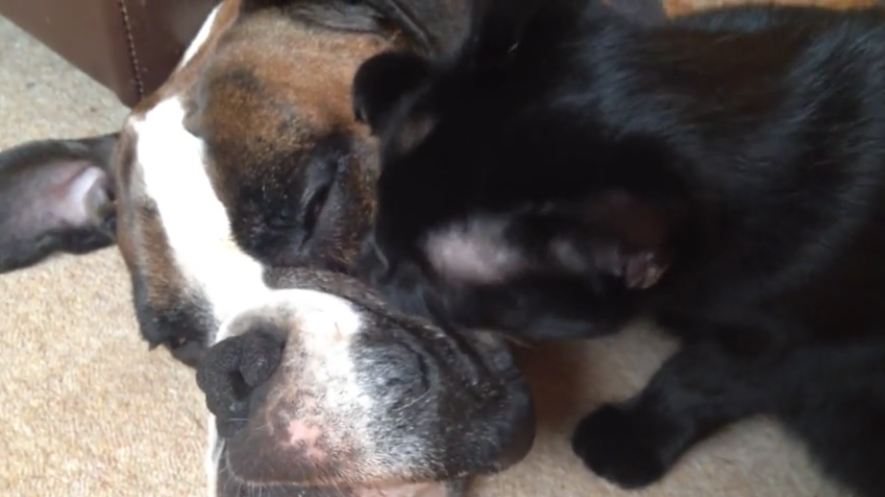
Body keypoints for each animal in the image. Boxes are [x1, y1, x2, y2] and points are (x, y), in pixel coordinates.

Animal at [354, 1, 885, 494]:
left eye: (424, 280)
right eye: (379, 208)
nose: (368, 261)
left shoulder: (790, 339)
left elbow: (699, 377)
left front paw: (629, 439)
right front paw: (393, 77)